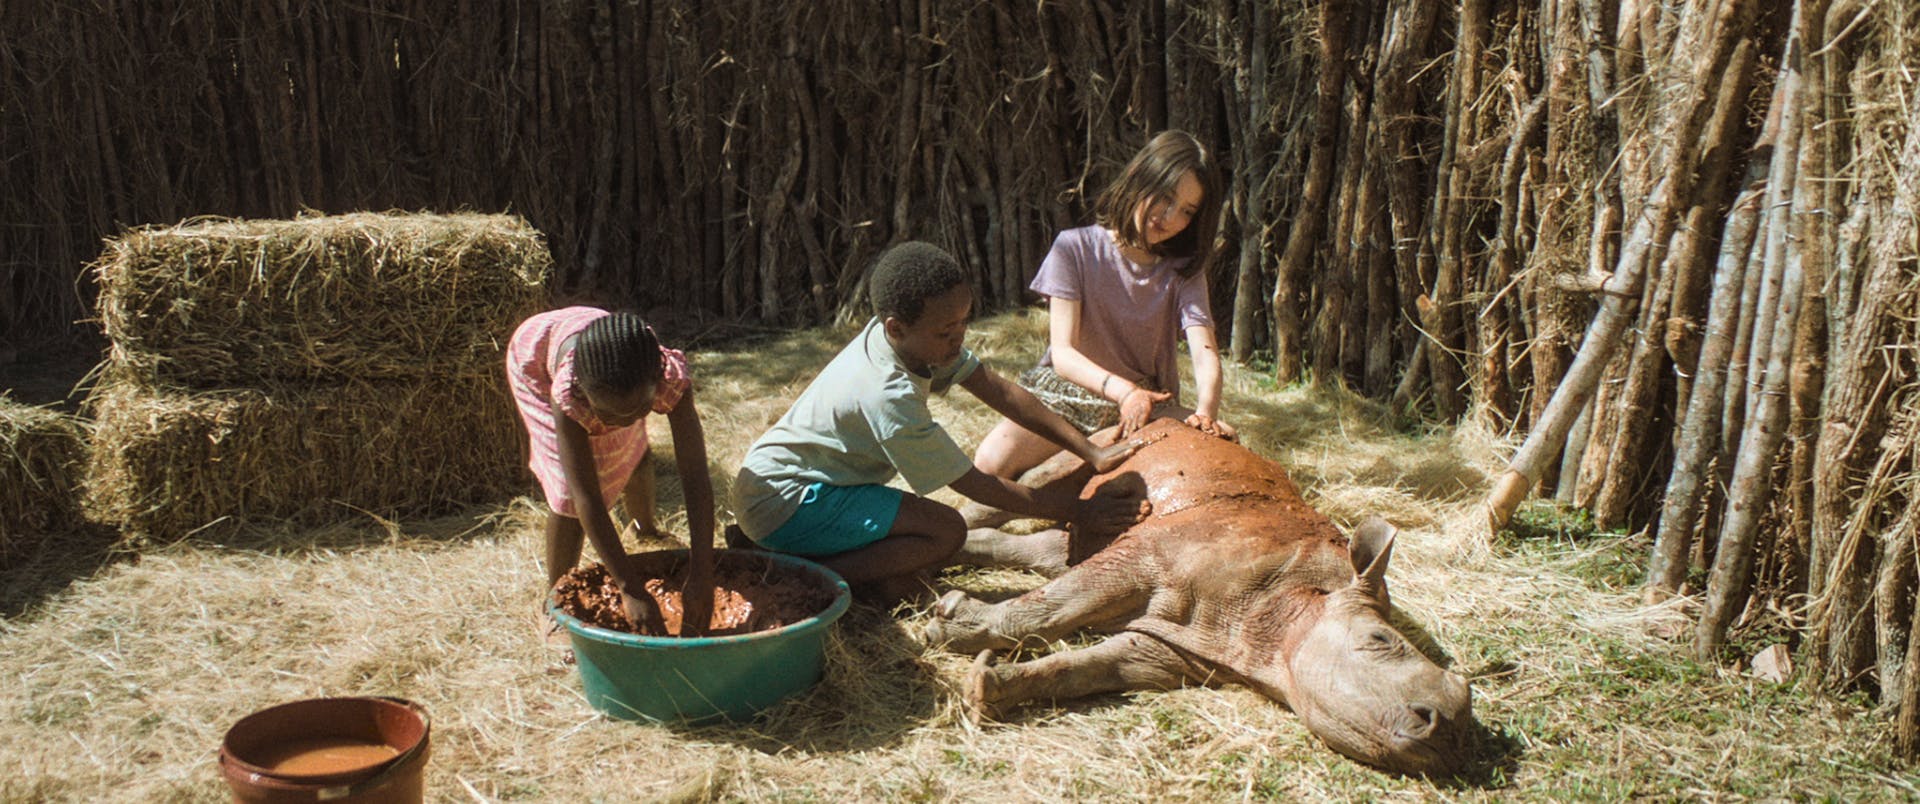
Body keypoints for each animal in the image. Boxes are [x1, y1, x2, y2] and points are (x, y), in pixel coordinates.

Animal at [929, 418, 1466, 779]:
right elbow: (1058, 605)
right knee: (1037, 486)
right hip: (1110, 440)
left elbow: (1096, 665)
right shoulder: (1152, 553)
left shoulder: (1183, 649)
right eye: (1379, 639)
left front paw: (986, 686)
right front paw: (947, 626)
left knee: (1058, 552)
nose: (1450, 728)